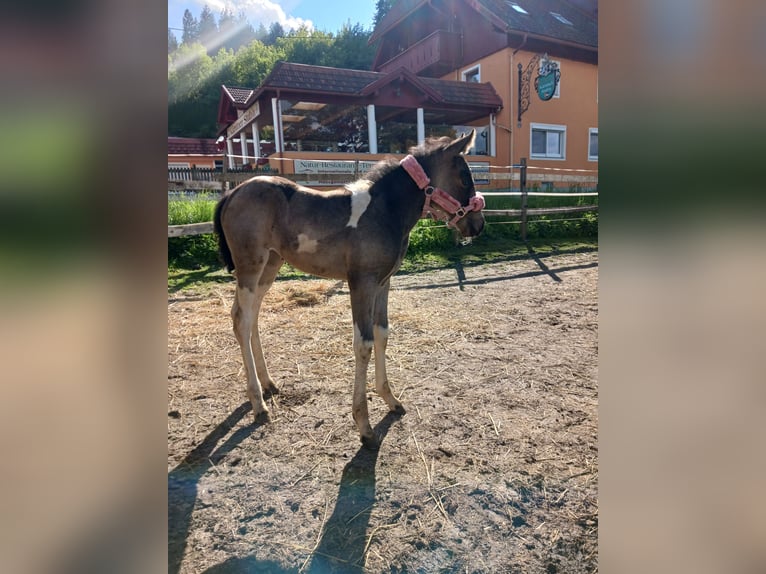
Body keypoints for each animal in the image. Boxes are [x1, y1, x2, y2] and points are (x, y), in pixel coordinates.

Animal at [213, 131, 485, 449]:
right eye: (464, 177)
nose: (478, 225)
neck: (384, 210)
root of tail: (232, 193)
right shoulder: (361, 282)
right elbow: (363, 343)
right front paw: (365, 427)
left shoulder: (383, 282)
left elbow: (382, 334)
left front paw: (391, 400)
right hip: (250, 266)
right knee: (241, 320)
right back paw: (259, 404)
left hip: (270, 265)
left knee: (251, 316)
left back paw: (268, 385)